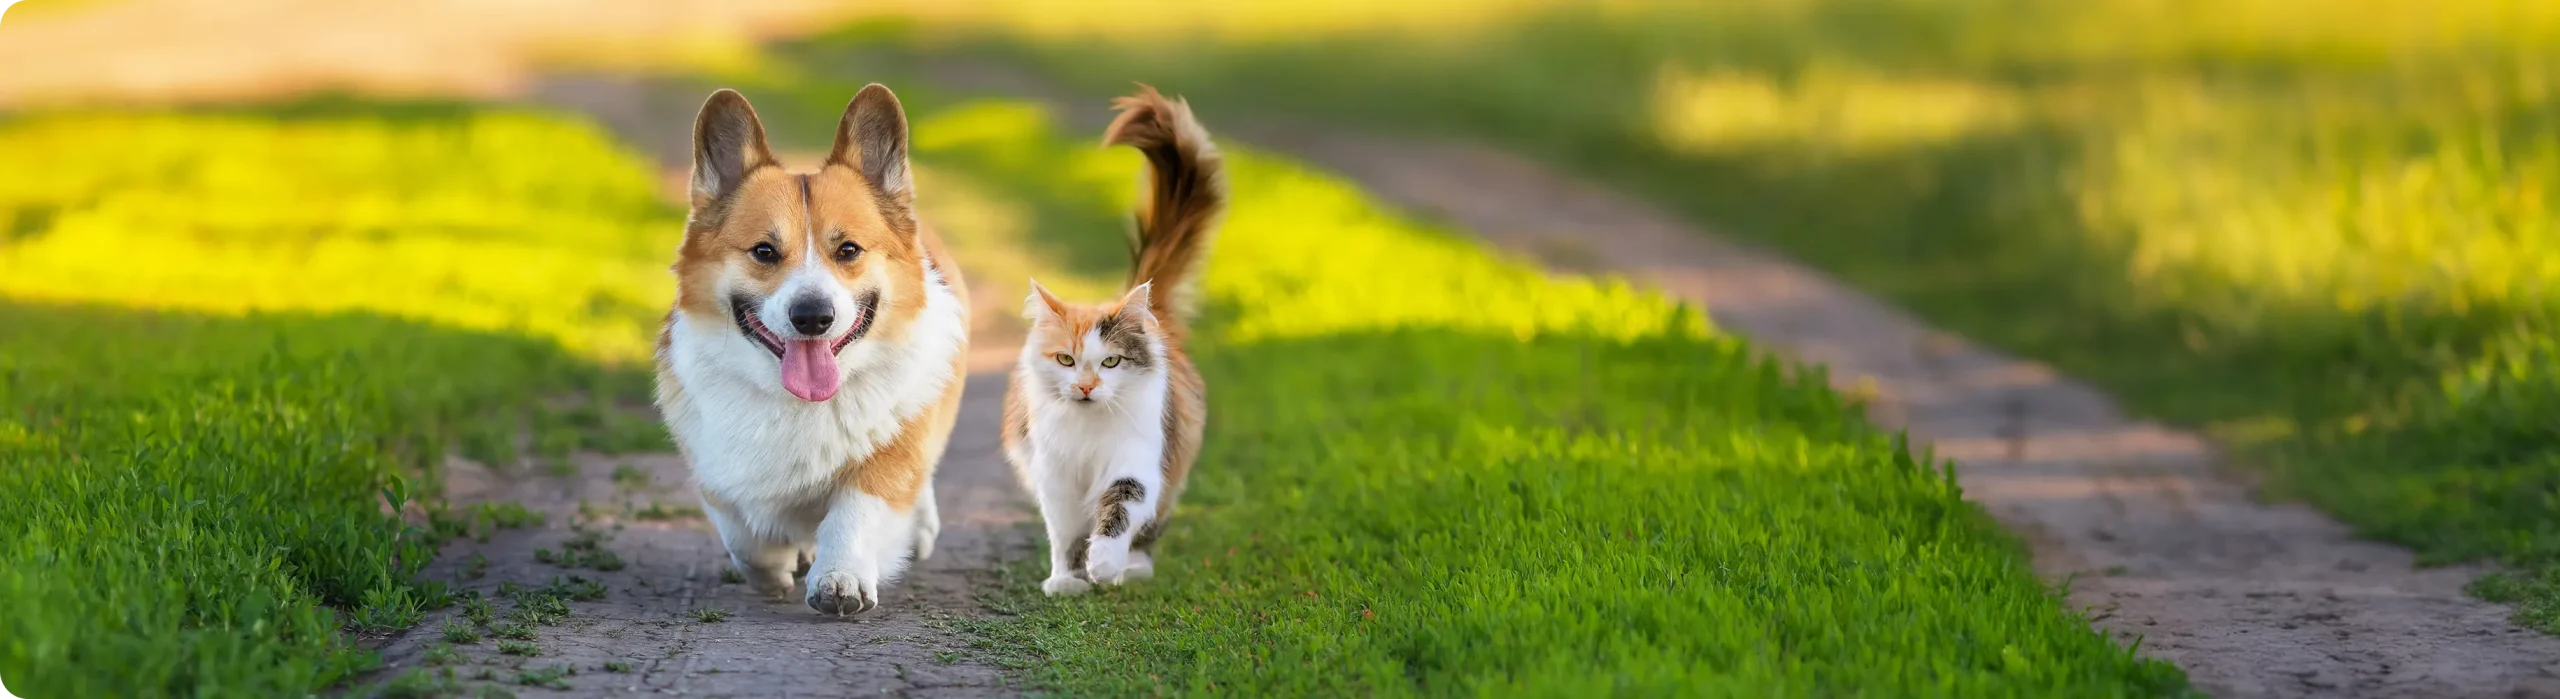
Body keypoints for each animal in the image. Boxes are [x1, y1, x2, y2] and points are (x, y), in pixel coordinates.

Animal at [655, 84, 972, 611]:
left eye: (848, 250)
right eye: (764, 251)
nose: (813, 317)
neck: (799, 401)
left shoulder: (888, 459)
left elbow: (855, 512)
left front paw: (840, 578)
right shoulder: (715, 468)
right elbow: (745, 536)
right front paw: (774, 570)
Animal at [1003, 83, 1223, 594]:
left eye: (1111, 363)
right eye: (1066, 361)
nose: (1086, 387)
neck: (1087, 433)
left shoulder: (1135, 460)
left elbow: (1120, 507)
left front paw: (1103, 564)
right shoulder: (1053, 476)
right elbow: (1063, 535)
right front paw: (1066, 579)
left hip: (1172, 462)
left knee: (1149, 529)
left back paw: (1132, 569)